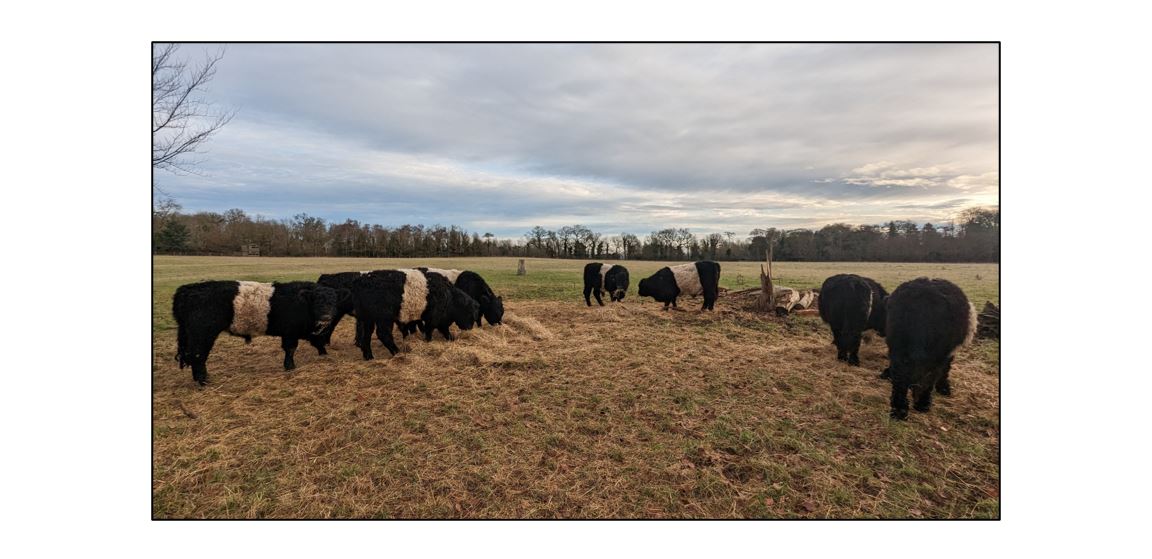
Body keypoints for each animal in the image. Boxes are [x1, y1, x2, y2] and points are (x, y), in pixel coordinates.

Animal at [172, 280, 348, 385]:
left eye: (334, 301)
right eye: (316, 300)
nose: (326, 317)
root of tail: (187, 289)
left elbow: (316, 342)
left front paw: (324, 354)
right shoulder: (290, 332)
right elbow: (291, 349)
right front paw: (290, 367)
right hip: (203, 334)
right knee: (198, 356)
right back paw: (203, 381)